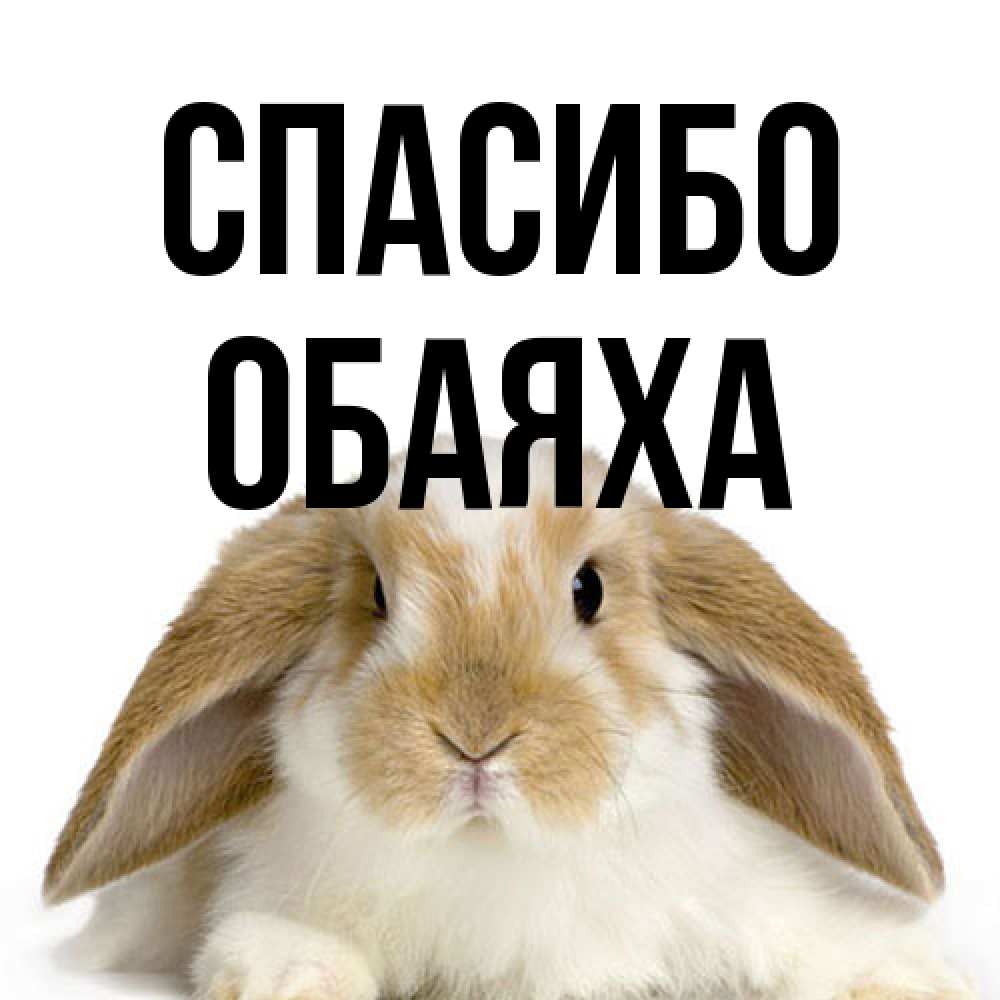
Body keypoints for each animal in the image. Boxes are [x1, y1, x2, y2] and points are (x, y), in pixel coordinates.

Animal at [45, 440, 975, 1000]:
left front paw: (909, 978)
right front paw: (290, 977)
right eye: (376, 595)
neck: (495, 857)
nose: (475, 737)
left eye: (589, 589)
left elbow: (818, 939)